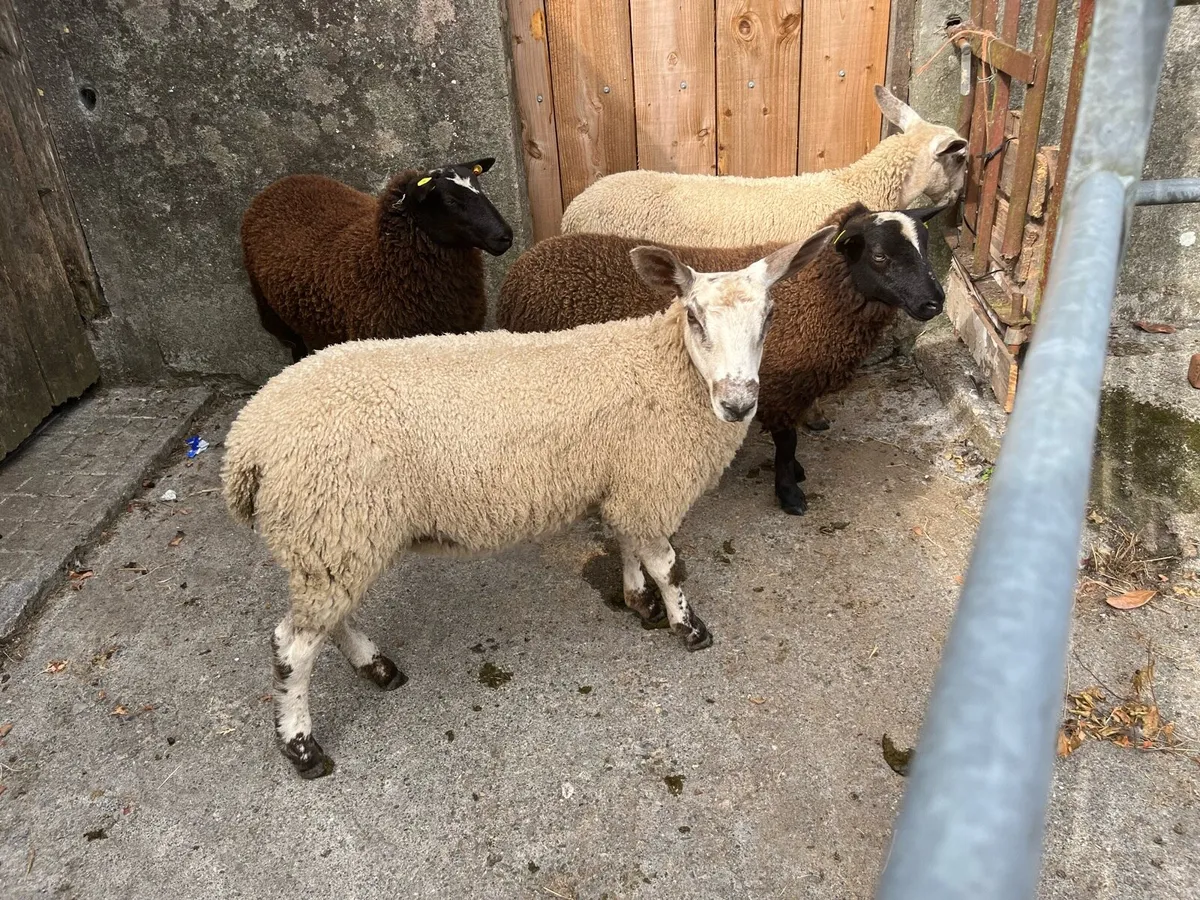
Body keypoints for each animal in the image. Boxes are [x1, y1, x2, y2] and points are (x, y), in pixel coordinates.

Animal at [221, 226, 834, 778]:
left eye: (769, 318)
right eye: (694, 318)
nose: (738, 404)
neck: (664, 368)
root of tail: (247, 443)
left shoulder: (626, 479)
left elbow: (630, 546)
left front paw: (640, 602)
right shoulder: (649, 482)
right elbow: (667, 564)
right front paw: (689, 628)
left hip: (334, 538)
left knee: (330, 619)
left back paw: (376, 667)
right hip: (330, 525)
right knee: (292, 648)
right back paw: (302, 747)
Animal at [498, 202, 946, 516]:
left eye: (926, 248)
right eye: (880, 256)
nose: (934, 303)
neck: (816, 293)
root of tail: (520, 269)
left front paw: (796, 473)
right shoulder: (781, 388)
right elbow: (787, 442)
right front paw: (790, 493)